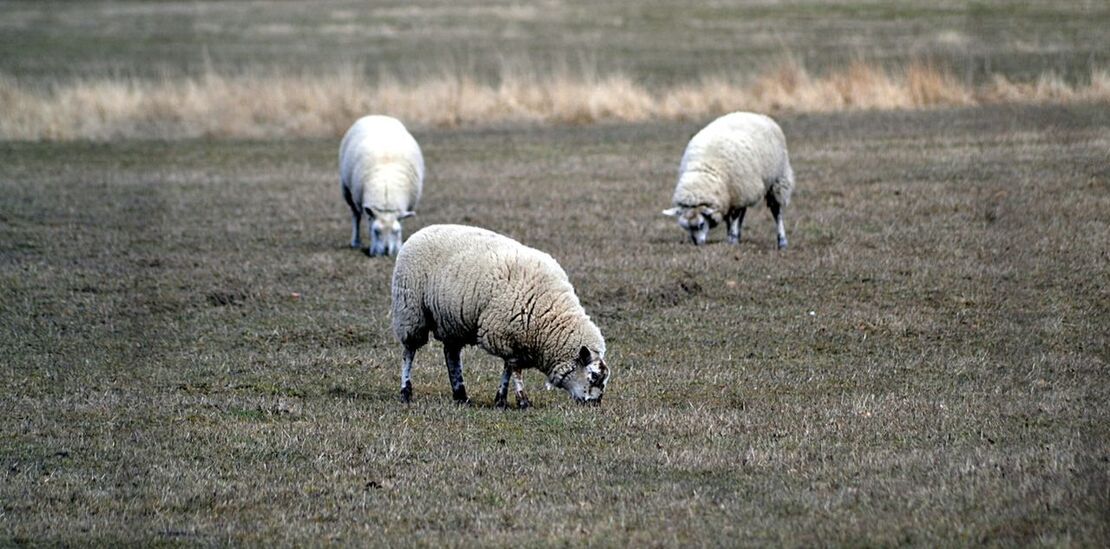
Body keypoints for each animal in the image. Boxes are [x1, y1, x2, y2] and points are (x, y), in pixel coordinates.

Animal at [335, 114, 421, 259]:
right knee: (356, 215)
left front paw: (398, 247)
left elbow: (402, 222)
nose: (385, 252)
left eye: (396, 231)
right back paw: (356, 242)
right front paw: (373, 250)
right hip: (347, 191)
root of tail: (377, 116)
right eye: (376, 231)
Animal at [390, 224, 612, 408]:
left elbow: (507, 369)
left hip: (451, 321)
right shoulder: (506, 336)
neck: (550, 312)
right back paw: (406, 392)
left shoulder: (513, 338)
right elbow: (515, 370)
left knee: (451, 355)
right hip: (410, 311)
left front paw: (501, 400)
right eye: (594, 376)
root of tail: (420, 232)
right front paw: (522, 401)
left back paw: (461, 395)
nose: (595, 404)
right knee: (409, 352)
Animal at [661, 112, 794, 250]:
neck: (703, 170)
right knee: (743, 212)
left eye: (701, 224)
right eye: (686, 227)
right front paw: (730, 236)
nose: (698, 244)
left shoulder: (737, 192)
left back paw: (782, 241)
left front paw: (732, 239)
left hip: (777, 180)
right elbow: (730, 218)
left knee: (776, 211)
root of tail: (756, 114)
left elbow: (734, 216)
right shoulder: (729, 195)